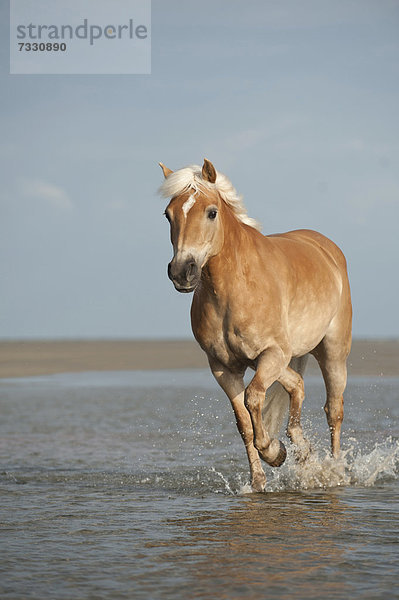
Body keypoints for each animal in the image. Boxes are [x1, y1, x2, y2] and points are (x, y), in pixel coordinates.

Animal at [159, 159, 354, 492]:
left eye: (211, 212)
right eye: (168, 214)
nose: (182, 272)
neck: (235, 287)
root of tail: (326, 248)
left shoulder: (272, 353)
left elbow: (254, 400)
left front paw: (274, 453)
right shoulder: (224, 368)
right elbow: (244, 424)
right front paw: (259, 480)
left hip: (331, 353)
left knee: (334, 411)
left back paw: (334, 471)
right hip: (280, 360)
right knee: (297, 386)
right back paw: (304, 452)